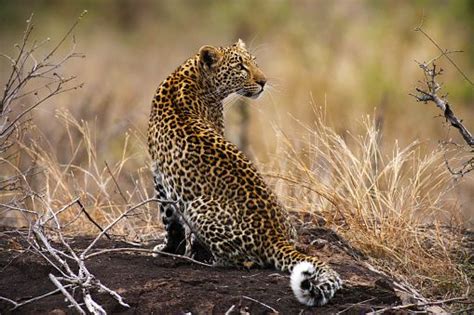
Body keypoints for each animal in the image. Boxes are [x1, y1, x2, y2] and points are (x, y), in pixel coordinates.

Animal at [147, 39, 340, 306]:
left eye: (254, 62)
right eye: (241, 67)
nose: (263, 81)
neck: (192, 76)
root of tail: (276, 238)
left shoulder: (159, 175)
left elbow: (170, 222)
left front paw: (168, 249)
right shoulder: (159, 174)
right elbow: (170, 221)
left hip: (198, 208)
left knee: (243, 261)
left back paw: (209, 260)